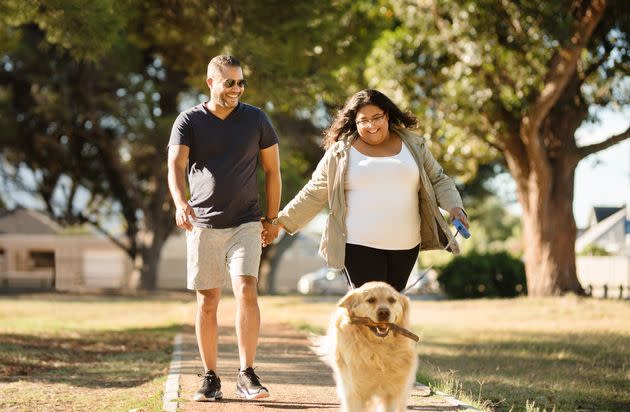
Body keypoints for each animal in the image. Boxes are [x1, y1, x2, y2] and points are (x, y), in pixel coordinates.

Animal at [326, 282, 420, 410]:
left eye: (391, 300)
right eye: (370, 300)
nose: (384, 312)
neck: (378, 347)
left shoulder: (392, 393)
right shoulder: (355, 393)